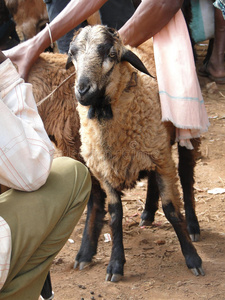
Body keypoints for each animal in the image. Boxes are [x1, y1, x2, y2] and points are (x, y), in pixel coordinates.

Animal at [66, 25, 205, 282]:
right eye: (72, 54)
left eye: (111, 54)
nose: (82, 90)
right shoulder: (105, 172)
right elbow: (115, 216)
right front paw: (115, 265)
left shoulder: (162, 162)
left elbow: (172, 209)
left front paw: (193, 259)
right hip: (153, 147)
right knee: (151, 179)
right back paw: (148, 213)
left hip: (184, 132)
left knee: (186, 174)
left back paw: (192, 225)